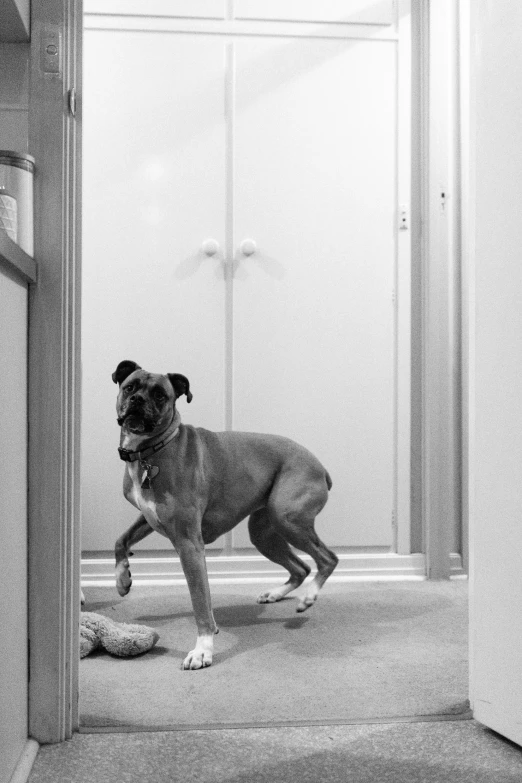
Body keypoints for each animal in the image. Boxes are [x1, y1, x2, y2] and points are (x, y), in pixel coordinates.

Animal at [111, 358, 338, 672]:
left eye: (160, 395)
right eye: (130, 387)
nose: (138, 400)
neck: (152, 449)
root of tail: (319, 465)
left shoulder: (189, 545)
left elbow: (200, 601)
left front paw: (203, 649)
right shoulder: (148, 518)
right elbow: (120, 541)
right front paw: (122, 580)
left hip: (287, 518)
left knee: (327, 559)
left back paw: (309, 597)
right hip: (263, 533)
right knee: (301, 567)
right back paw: (276, 593)